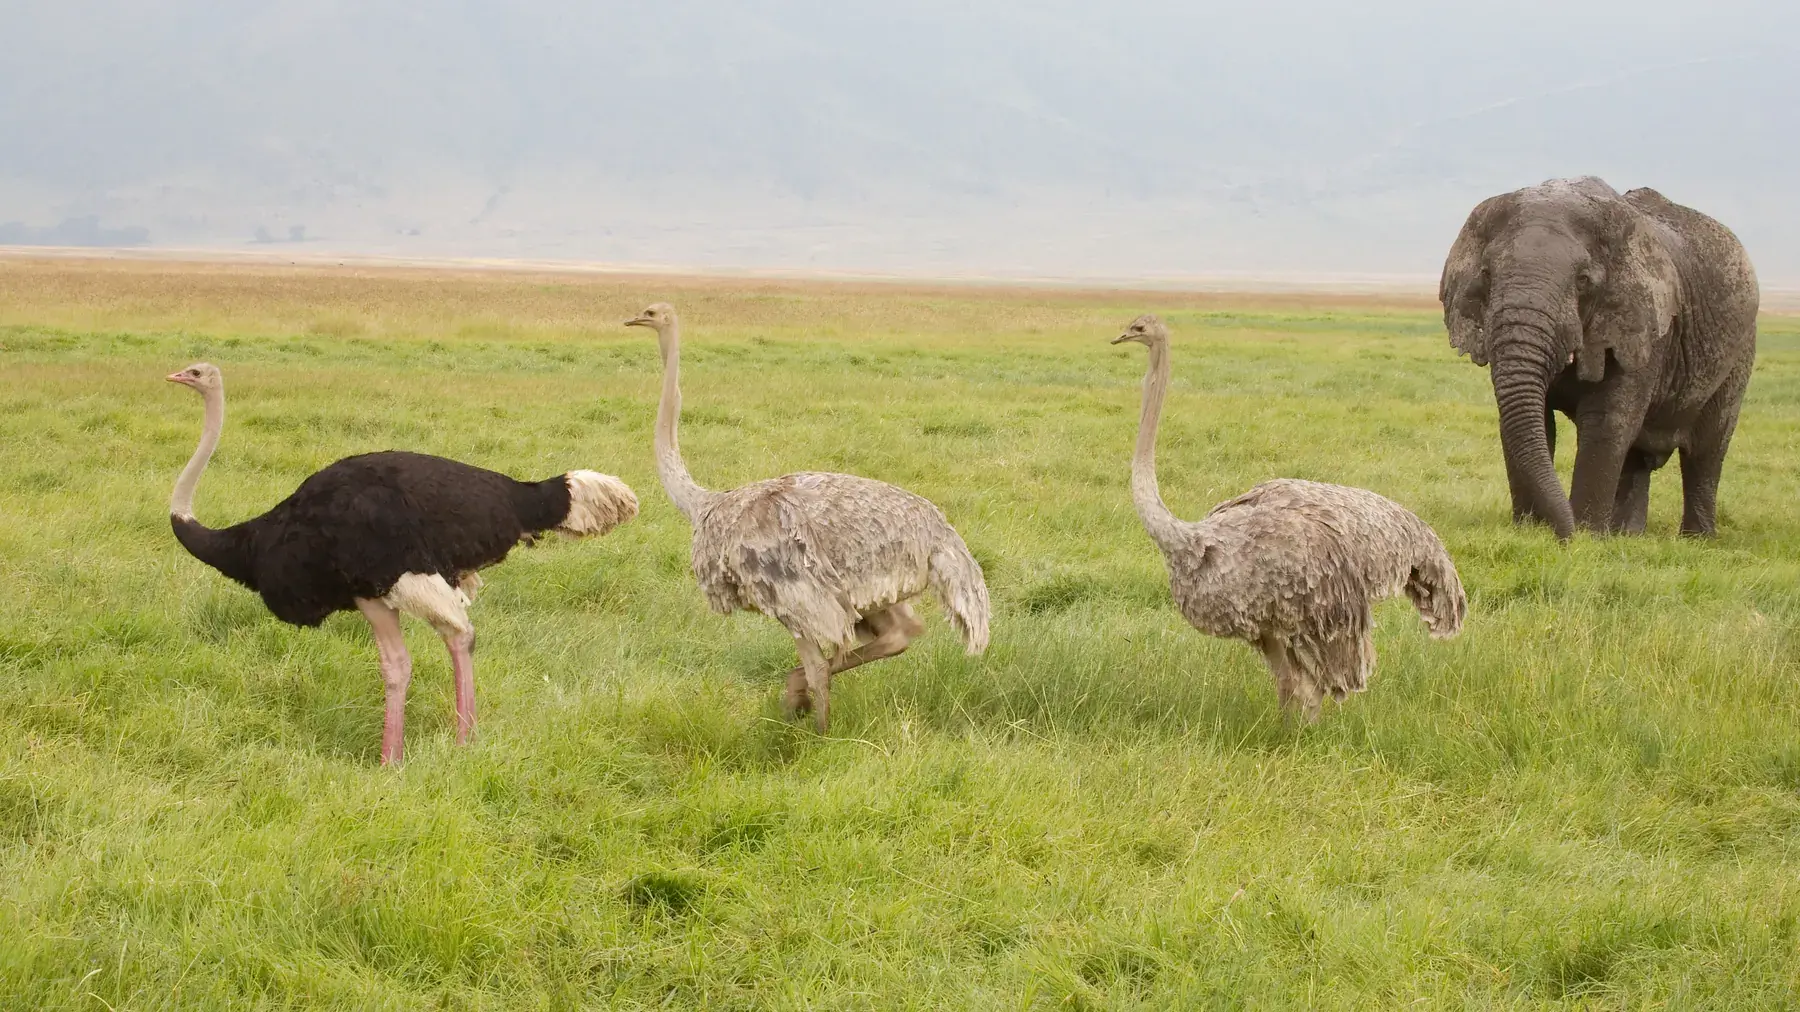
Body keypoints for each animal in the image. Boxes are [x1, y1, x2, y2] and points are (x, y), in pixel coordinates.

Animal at [1440, 177, 1759, 539]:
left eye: (1583, 280)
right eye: (1486, 274)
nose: (1561, 534)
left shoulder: (1644, 326)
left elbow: (1606, 422)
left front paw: (1585, 535)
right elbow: (1530, 421)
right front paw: (1530, 531)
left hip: (1740, 350)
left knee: (1707, 449)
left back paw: (1695, 539)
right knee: (1638, 455)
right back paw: (1627, 535)